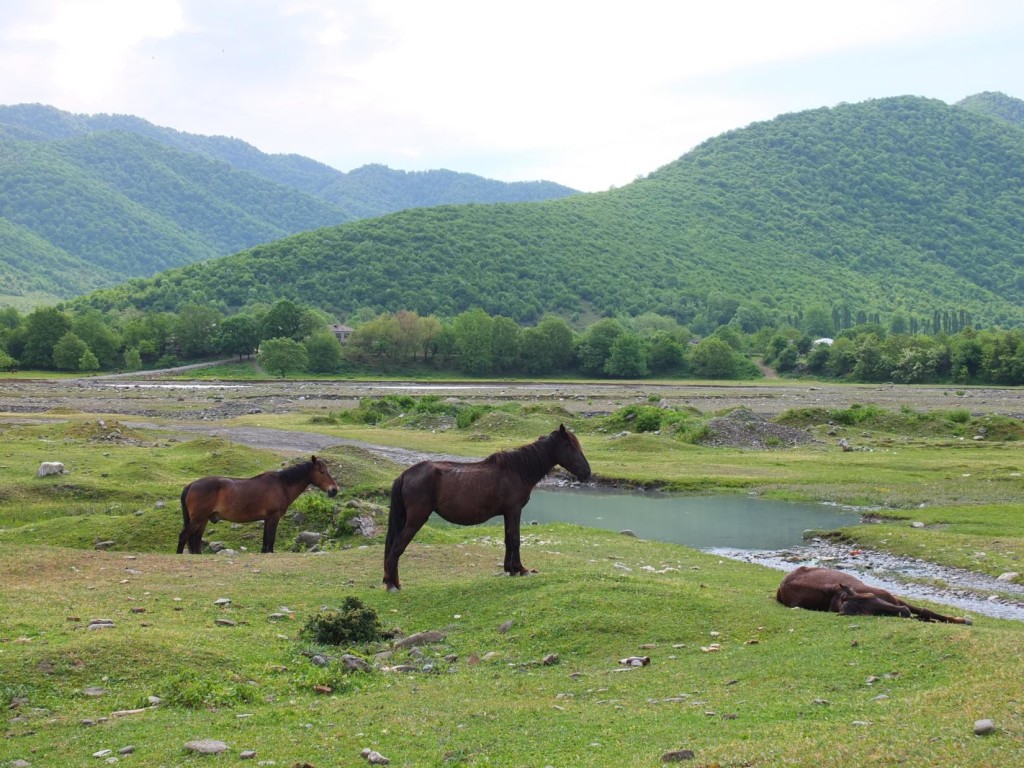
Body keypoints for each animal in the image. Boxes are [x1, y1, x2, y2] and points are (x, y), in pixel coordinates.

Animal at [176, 454, 335, 557]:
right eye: (322, 472)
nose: (334, 489)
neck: (282, 485)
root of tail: (191, 485)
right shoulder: (273, 517)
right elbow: (271, 539)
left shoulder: (267, 519)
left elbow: (265, 541)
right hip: (198, 519)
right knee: (184, 536)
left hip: (202, 520)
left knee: (195, 539)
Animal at [385, 423, 593, 593]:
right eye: (571, 447)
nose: (587, 472)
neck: (517, 470)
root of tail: (405, 474)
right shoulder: (514, 510)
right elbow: (516, 539)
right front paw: (521, 569)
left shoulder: (507, 513)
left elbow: (508, 540)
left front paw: (510, 569)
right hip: (416, 519)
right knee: (396, 548)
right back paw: (391, 585)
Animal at [774, 565, 966, 626]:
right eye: (871, 614)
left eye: (871, 597)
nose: (903, 612)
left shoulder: (894, 598)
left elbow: (925, 610)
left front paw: (961, 620)